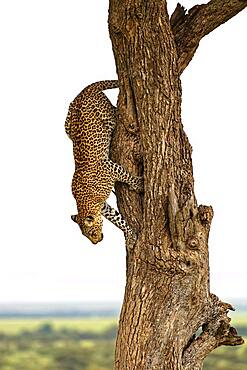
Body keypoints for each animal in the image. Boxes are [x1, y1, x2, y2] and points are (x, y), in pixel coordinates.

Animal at [65, 79, 143, 244]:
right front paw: (130, 236)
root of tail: (84, 91)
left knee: (117, 113)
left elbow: (126, 175)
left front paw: (138, 184)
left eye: (92, 232)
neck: (85, 202)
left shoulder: (108, 167)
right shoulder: (103, 207)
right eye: (86, 236)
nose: (97, 242)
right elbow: (118, 220)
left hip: (108, 116)